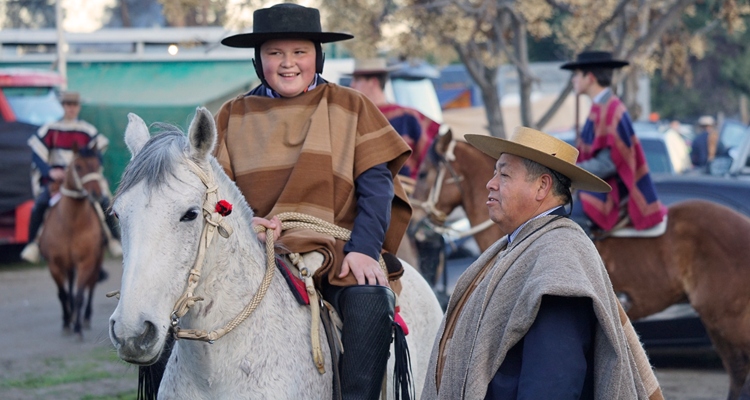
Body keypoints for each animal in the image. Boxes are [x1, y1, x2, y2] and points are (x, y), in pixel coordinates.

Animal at [39, 147, 106, 338]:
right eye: (78, 166)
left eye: (97, 164)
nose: (96, 194)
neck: (72, 224)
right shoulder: (54, 265)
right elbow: (63, 294)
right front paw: (66, 322)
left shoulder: (86, 262)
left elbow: (80, 294)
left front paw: (77, 327)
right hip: (68, 265)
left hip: (96, 261)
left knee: (91, 286)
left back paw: (85, 317)